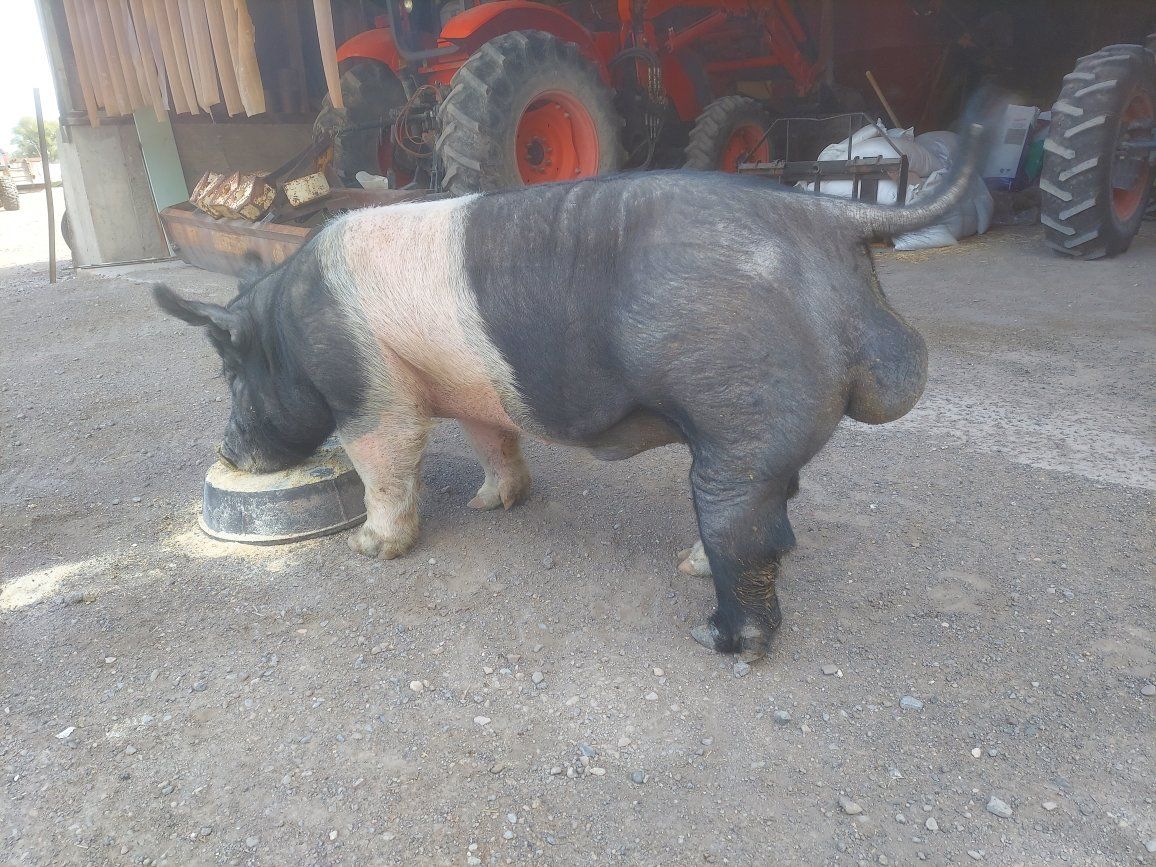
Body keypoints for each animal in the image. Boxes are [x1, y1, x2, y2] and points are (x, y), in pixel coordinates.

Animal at [155, 131, 981, 659]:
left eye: (231, 375)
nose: (228, 448)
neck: (287, 332)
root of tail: (823, 214)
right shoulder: (475, 389)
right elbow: (494, 442)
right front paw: (493, 503)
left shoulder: (372, 391)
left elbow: (386, 463)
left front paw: (371, 549)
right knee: (773, 511)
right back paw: (689, 568)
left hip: (737, 417)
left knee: (751, 537)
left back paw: (715, 639)